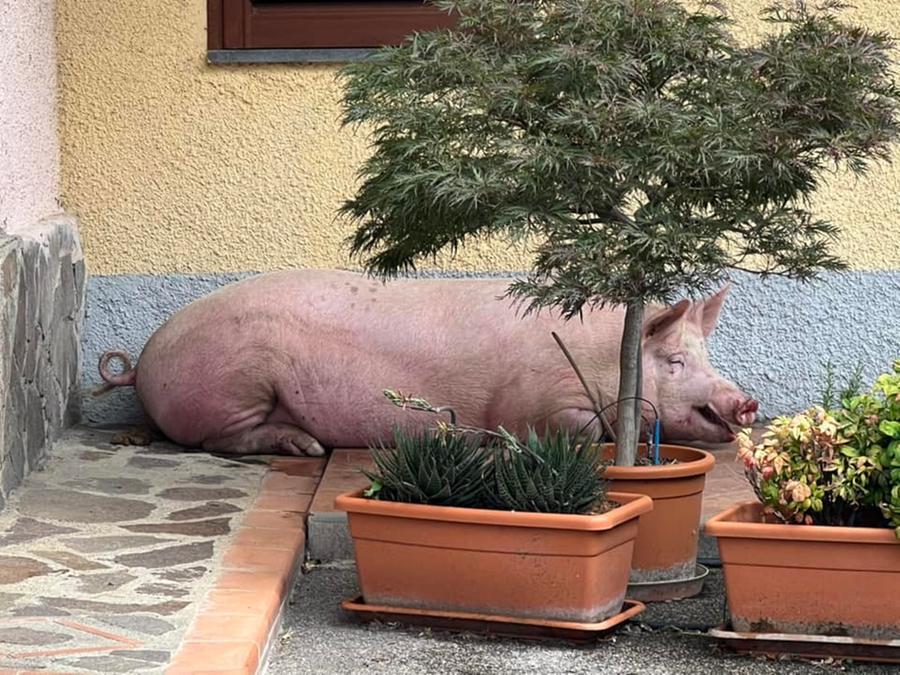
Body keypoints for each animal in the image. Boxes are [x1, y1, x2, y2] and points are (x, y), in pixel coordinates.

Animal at [97, 270, 758, 456]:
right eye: (674, 360)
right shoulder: (530, 403)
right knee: (214, 441)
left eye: (706, 354)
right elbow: (581, 428)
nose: (745, 399)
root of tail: (143, 360)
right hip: (237, 381)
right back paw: (306, 448)